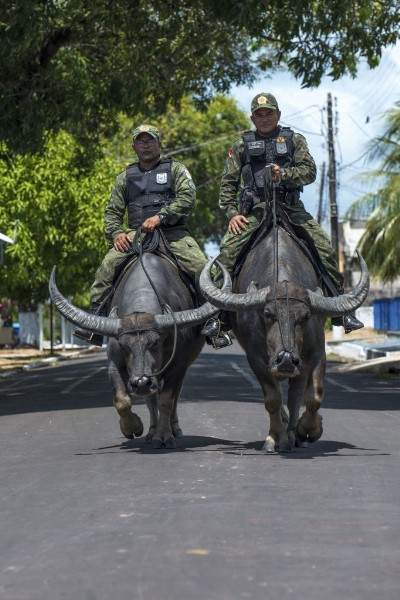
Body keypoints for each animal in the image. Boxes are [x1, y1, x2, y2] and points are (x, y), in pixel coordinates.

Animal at [48, 252, 227, 446]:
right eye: (123, 345)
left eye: (155, 342)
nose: (141, 381)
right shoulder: (115, 364)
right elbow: (122, 400)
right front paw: (133, 428)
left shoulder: (177, 365)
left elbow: (166, 401)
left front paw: (164, 436)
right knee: (150, 399)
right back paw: (151, 432)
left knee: (173, 397)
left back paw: (173, 429)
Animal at [200, 223, 368, 452]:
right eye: (268, 313)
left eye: (305, 316)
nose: (286, 359)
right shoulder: (257, 358)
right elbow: (273, 398)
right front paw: (275, 438)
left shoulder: (315, 354)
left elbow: (313, 397)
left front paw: (307, 431)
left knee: (295, 395)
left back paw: (295, 433)